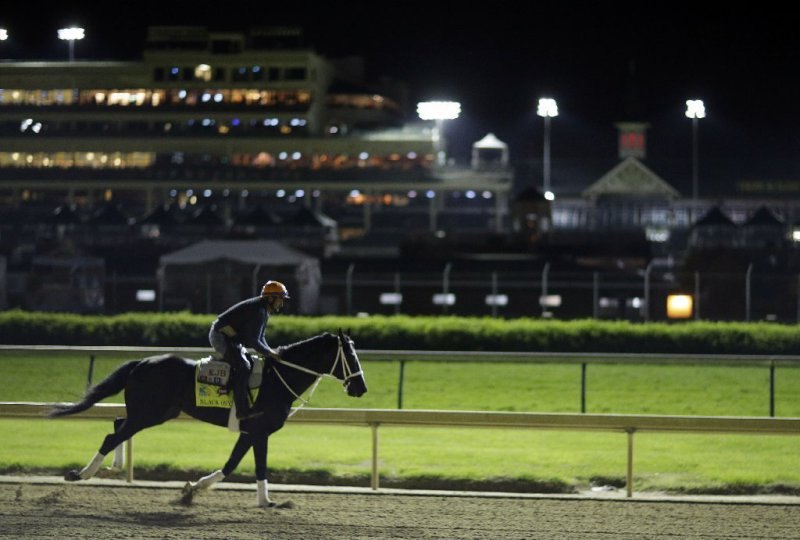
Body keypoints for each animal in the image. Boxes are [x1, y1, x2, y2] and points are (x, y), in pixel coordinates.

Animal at [47, 330, 366, 506]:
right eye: (350, 357)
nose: (361, 388)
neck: (278, 378)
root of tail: (142, 361)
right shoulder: (260, 431)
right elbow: (257, 466)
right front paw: (266, 502)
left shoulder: (250, 432)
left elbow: (231, 464)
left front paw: (194, 488)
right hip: (149, 413)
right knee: (112, 435)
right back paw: (81, 474)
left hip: (154, 412)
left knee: (117, 425)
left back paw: (113, 466)